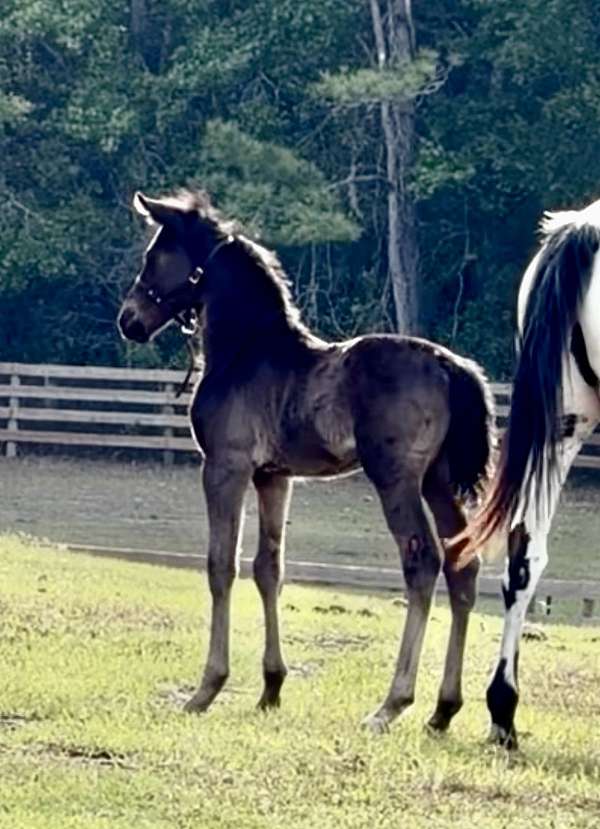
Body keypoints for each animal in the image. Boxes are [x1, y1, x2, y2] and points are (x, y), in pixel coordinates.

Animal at [117, 189, 494, 733]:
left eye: (155, 256)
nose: (129, 320)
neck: (245, 350)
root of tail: (452, 366)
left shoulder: (225, 468)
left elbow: (220, 565)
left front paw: (206, 689)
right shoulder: (274, 477)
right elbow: (268, 567)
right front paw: (271, 688)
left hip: (396, 479)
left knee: (422, 560)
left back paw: (390, 705)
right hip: (437, 482)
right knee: (463, 564)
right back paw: (443, 711)